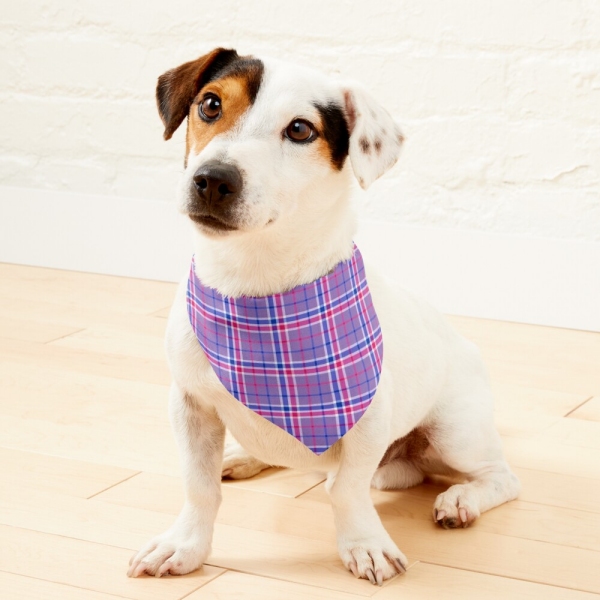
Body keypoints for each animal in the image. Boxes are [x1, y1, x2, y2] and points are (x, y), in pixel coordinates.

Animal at [127, 48, 520, 584]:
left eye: (299, 130)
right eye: (210, 104)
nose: (212, 179)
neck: (256, 287)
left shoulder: (367, 419)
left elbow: (347, 490)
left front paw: (365, 544)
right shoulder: (190, 405)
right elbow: (199, 486)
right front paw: (185, 545)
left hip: (456, 432)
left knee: (500, 477)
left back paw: (461, 499)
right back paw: (244, 456)